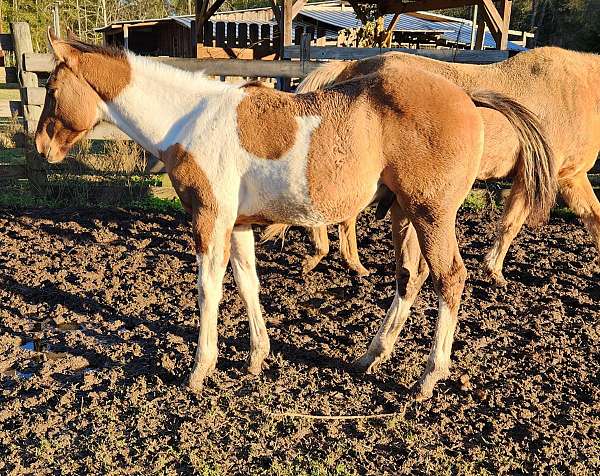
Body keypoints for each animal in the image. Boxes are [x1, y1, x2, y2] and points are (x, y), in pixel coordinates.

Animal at [36, 31, 552, 400]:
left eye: (54, 89)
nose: (42, 146)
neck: (190, 119)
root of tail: (468, 98)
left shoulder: (210, 220)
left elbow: (208, 290)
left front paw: (200, 369)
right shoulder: (238, 225)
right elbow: (247, 284)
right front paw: (256, 358)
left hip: (432, 214)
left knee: (450, 278)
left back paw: (427, 379)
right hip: (405, 215)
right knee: (411, 277)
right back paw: (370, 358)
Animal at [268, 47, 600, 286]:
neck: (575, 91)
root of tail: (351, 67)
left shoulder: (559, 178)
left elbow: (587, 217)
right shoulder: (548, 177)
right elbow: (514, 225)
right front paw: (494, 271)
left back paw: (352, 264)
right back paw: (326, 257)